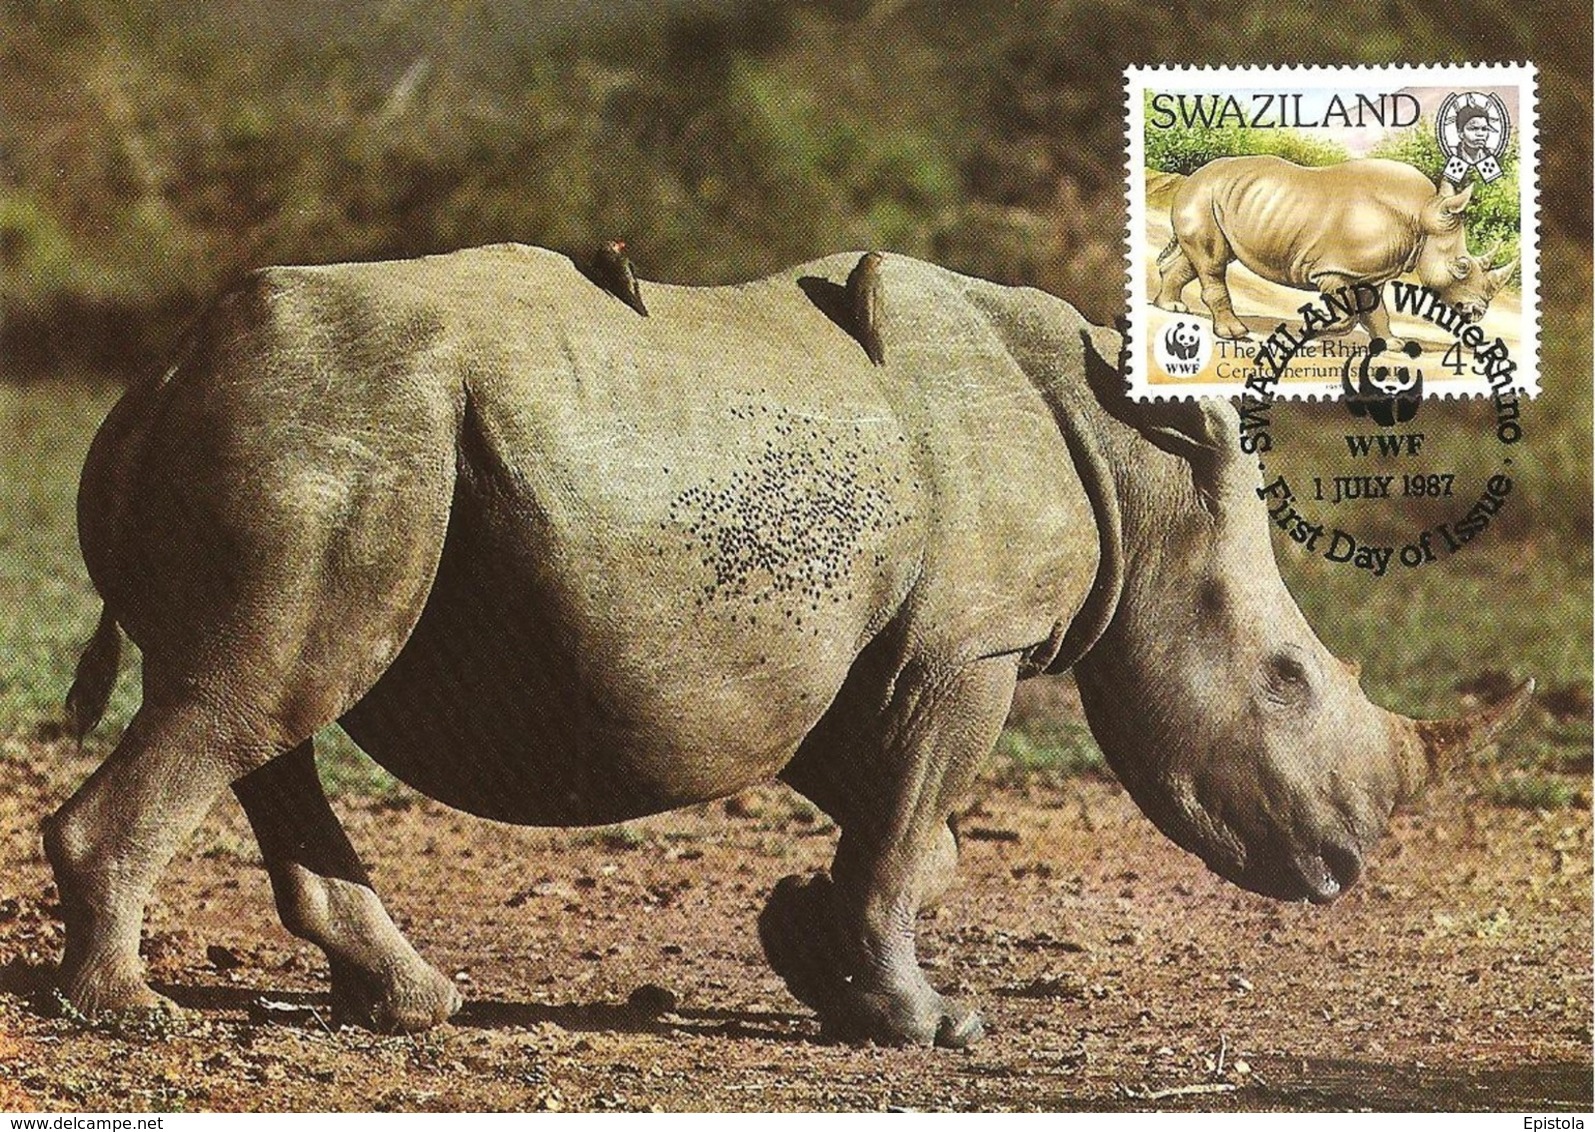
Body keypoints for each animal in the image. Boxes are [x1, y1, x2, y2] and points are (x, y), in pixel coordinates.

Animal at [47, 247, 1529, 1047]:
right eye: (1284, 683)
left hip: (330, 433)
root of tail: (158, 377)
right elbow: (908, 830)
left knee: (263, 699)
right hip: (334, 424)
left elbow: (902, 827)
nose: (1342, 868)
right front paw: (930, 1025)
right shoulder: (971, 645)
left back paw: (412, 1001)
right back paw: (129, 1010)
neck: (1137, 468)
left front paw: (808, 953)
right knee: (256, 693)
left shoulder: (880, 656)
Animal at [1154, 155, 1516, 342]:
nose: (1478, 313)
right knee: (1213, 262)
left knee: (1199, 259)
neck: (1422, 216)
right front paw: (1315, 330)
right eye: (1462, 266)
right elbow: (1348, 312)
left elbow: (1374, 310)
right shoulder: (1334, 271)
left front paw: (1393, 344)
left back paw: (1171, 308)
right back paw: (1235, 334)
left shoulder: (1372, 273)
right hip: (1204, 196)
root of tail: (1189, 180)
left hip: (1220, 198)